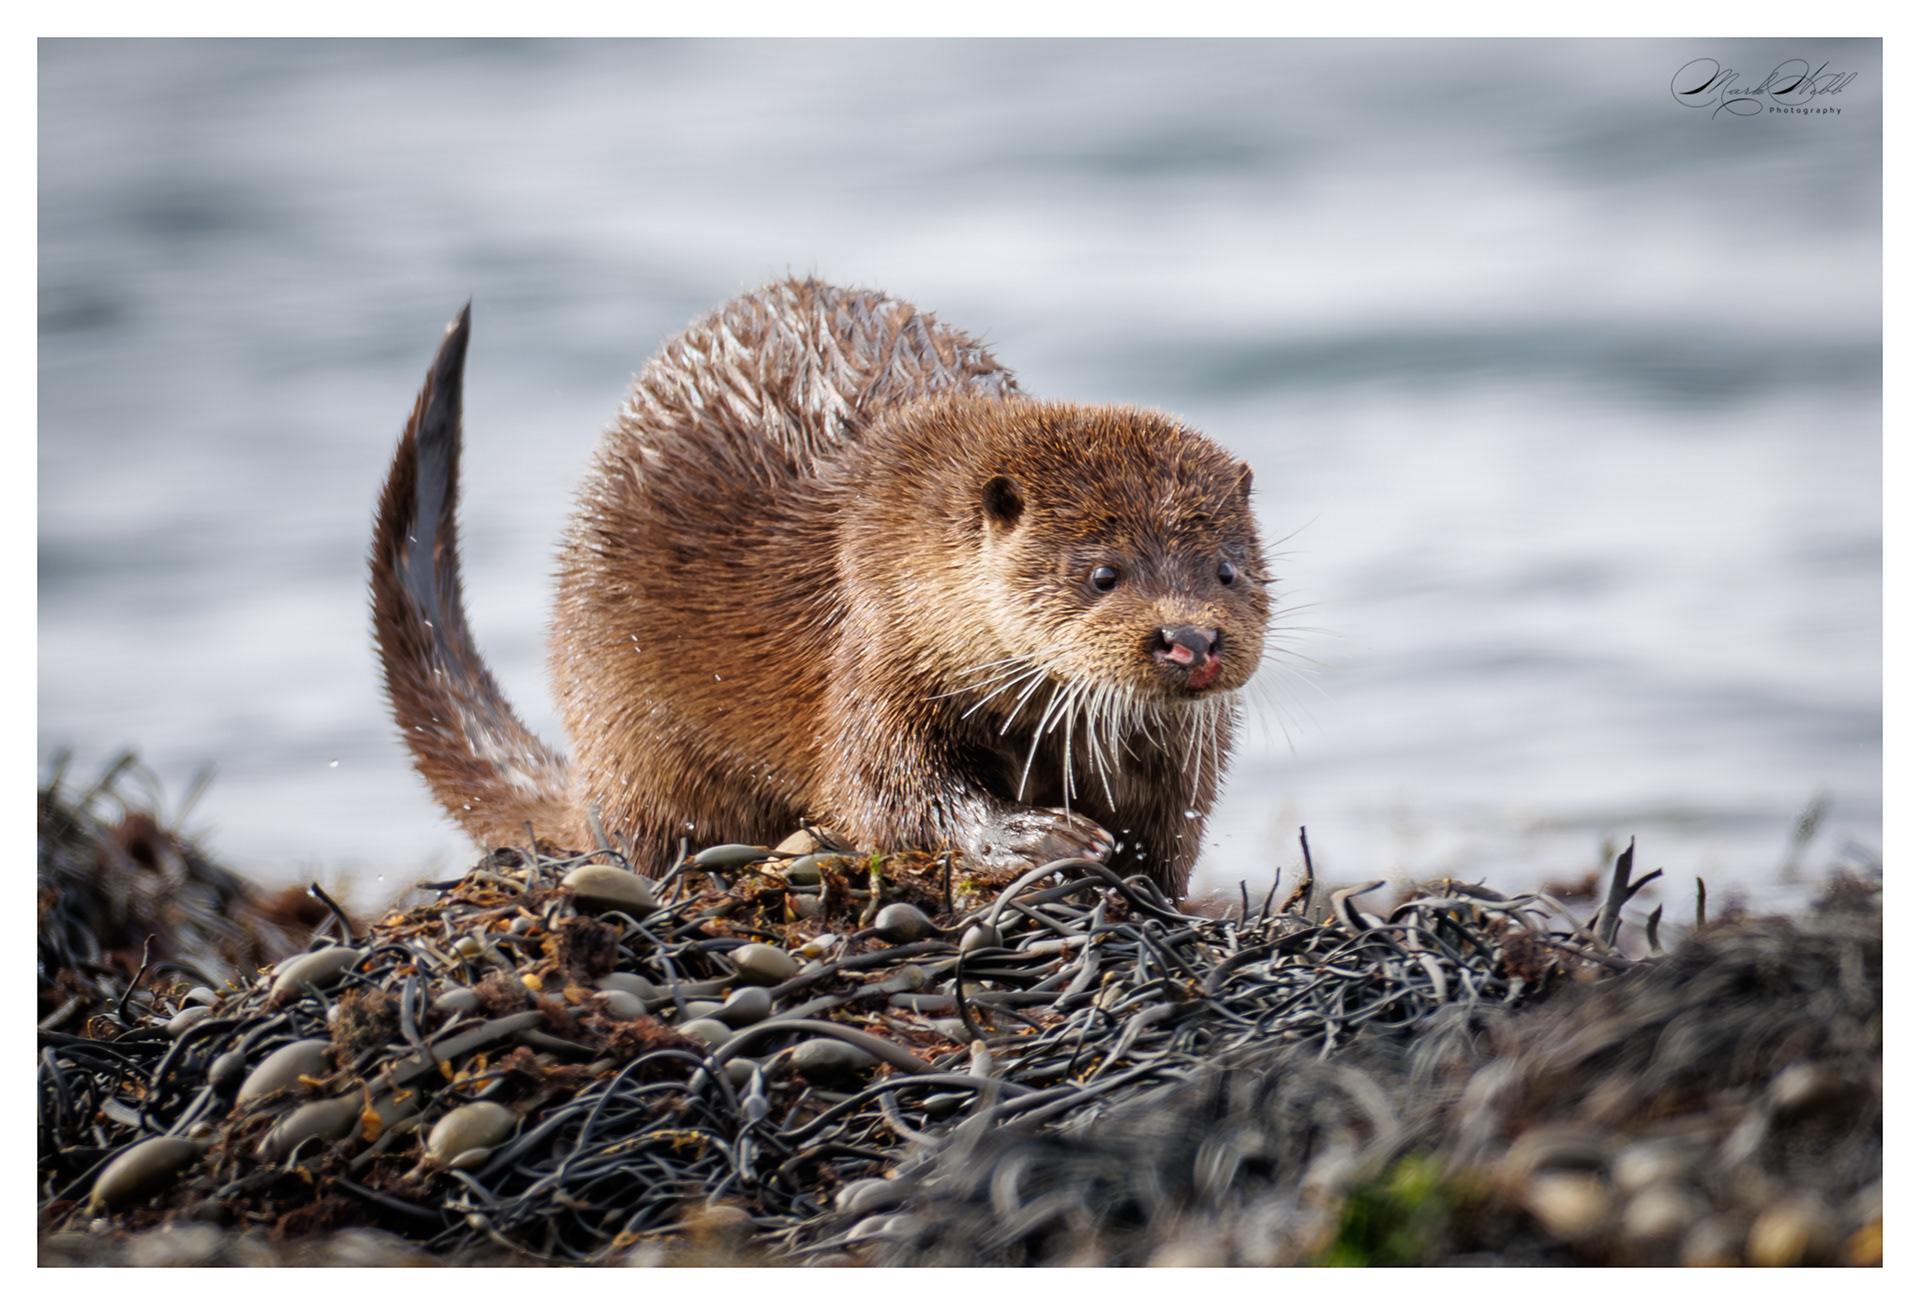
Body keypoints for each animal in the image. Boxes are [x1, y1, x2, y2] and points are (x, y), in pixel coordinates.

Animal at [371, 280, 1269, 899]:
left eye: (1227, 570)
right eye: (1102, 573)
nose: (1191, 639)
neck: (910, 548)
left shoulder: (1184, 758)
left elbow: (1168, 837)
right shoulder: (873, 644)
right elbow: (883, 790)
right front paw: (1030, 840)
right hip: (622, 720)